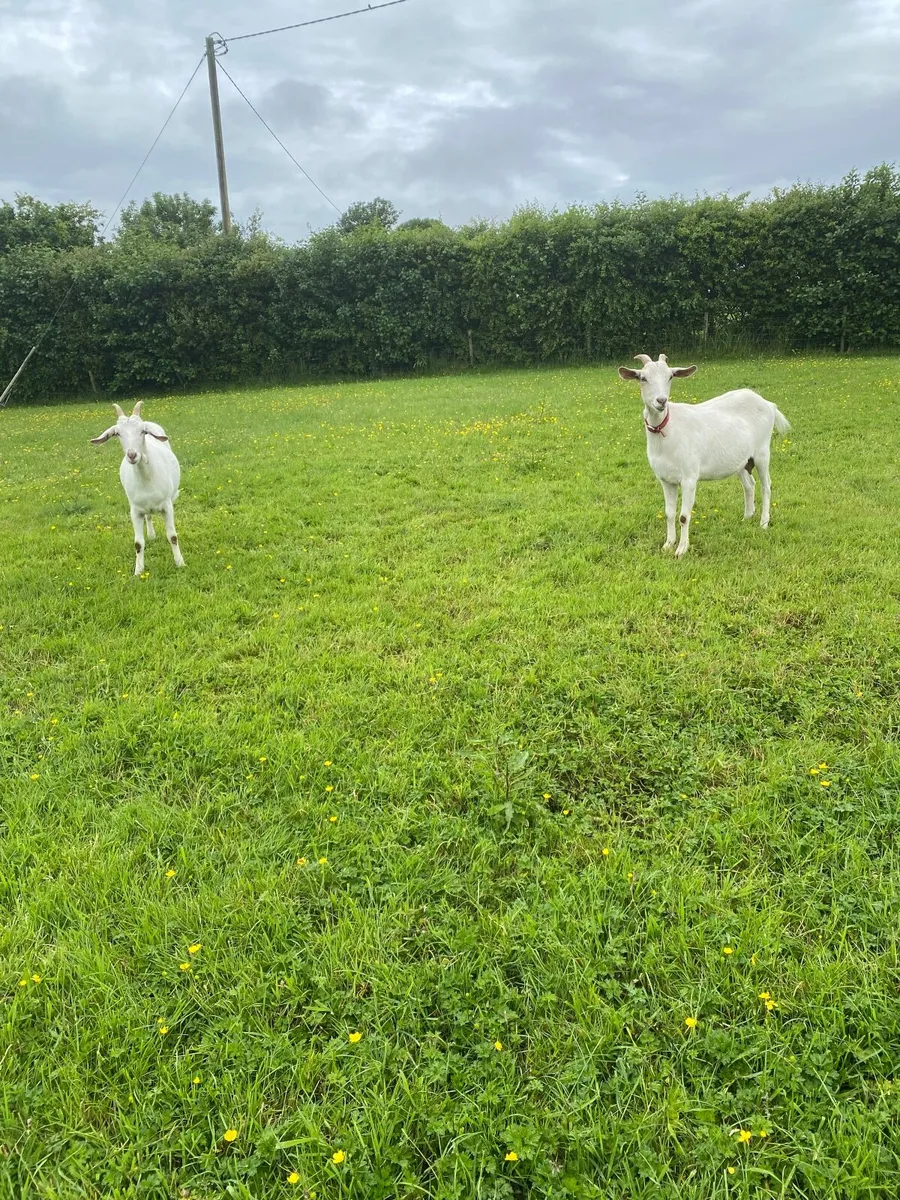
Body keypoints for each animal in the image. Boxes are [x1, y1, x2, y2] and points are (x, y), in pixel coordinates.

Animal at [90, 401, 185, 575]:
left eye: (143, 431)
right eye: (117, 433)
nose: (132, 455)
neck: (146, 478)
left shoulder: (167, 506)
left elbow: (173, 536)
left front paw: (180, 563)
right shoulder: (135, 511)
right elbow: (138, 543)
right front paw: (138, 570)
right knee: (149, 516)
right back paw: (152, 535)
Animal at [617, 354, 790, 556]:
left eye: (670, 376)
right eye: (642, 378)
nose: (661, 401)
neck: (668, 429)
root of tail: (769, 404)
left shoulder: (689, 478)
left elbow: (684, 516)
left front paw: (681, 550)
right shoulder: (665, 480)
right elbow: (669, 513)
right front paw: (668, 544)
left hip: (762, 452)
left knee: (766, 486)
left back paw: (763, 523)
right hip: (741, 460)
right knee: (749, 485)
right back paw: (747, 517)